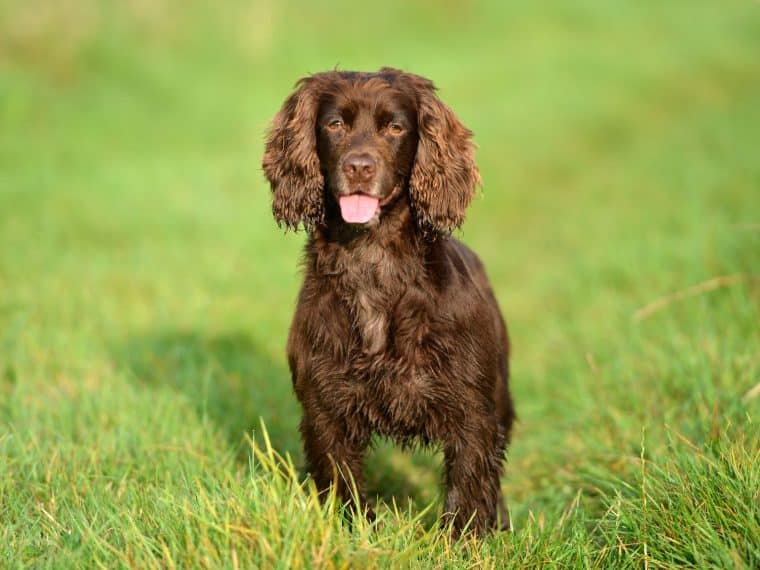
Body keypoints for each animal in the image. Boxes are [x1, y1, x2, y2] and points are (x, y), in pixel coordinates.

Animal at [262, 69, 516, 536]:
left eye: (395, 128)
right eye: (334, 124)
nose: (359, 167)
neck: (373, 264)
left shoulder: (472, 409)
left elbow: (469, 484)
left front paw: (464, 541)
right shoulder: (325, 406)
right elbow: (342, 479)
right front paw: (356, 532)